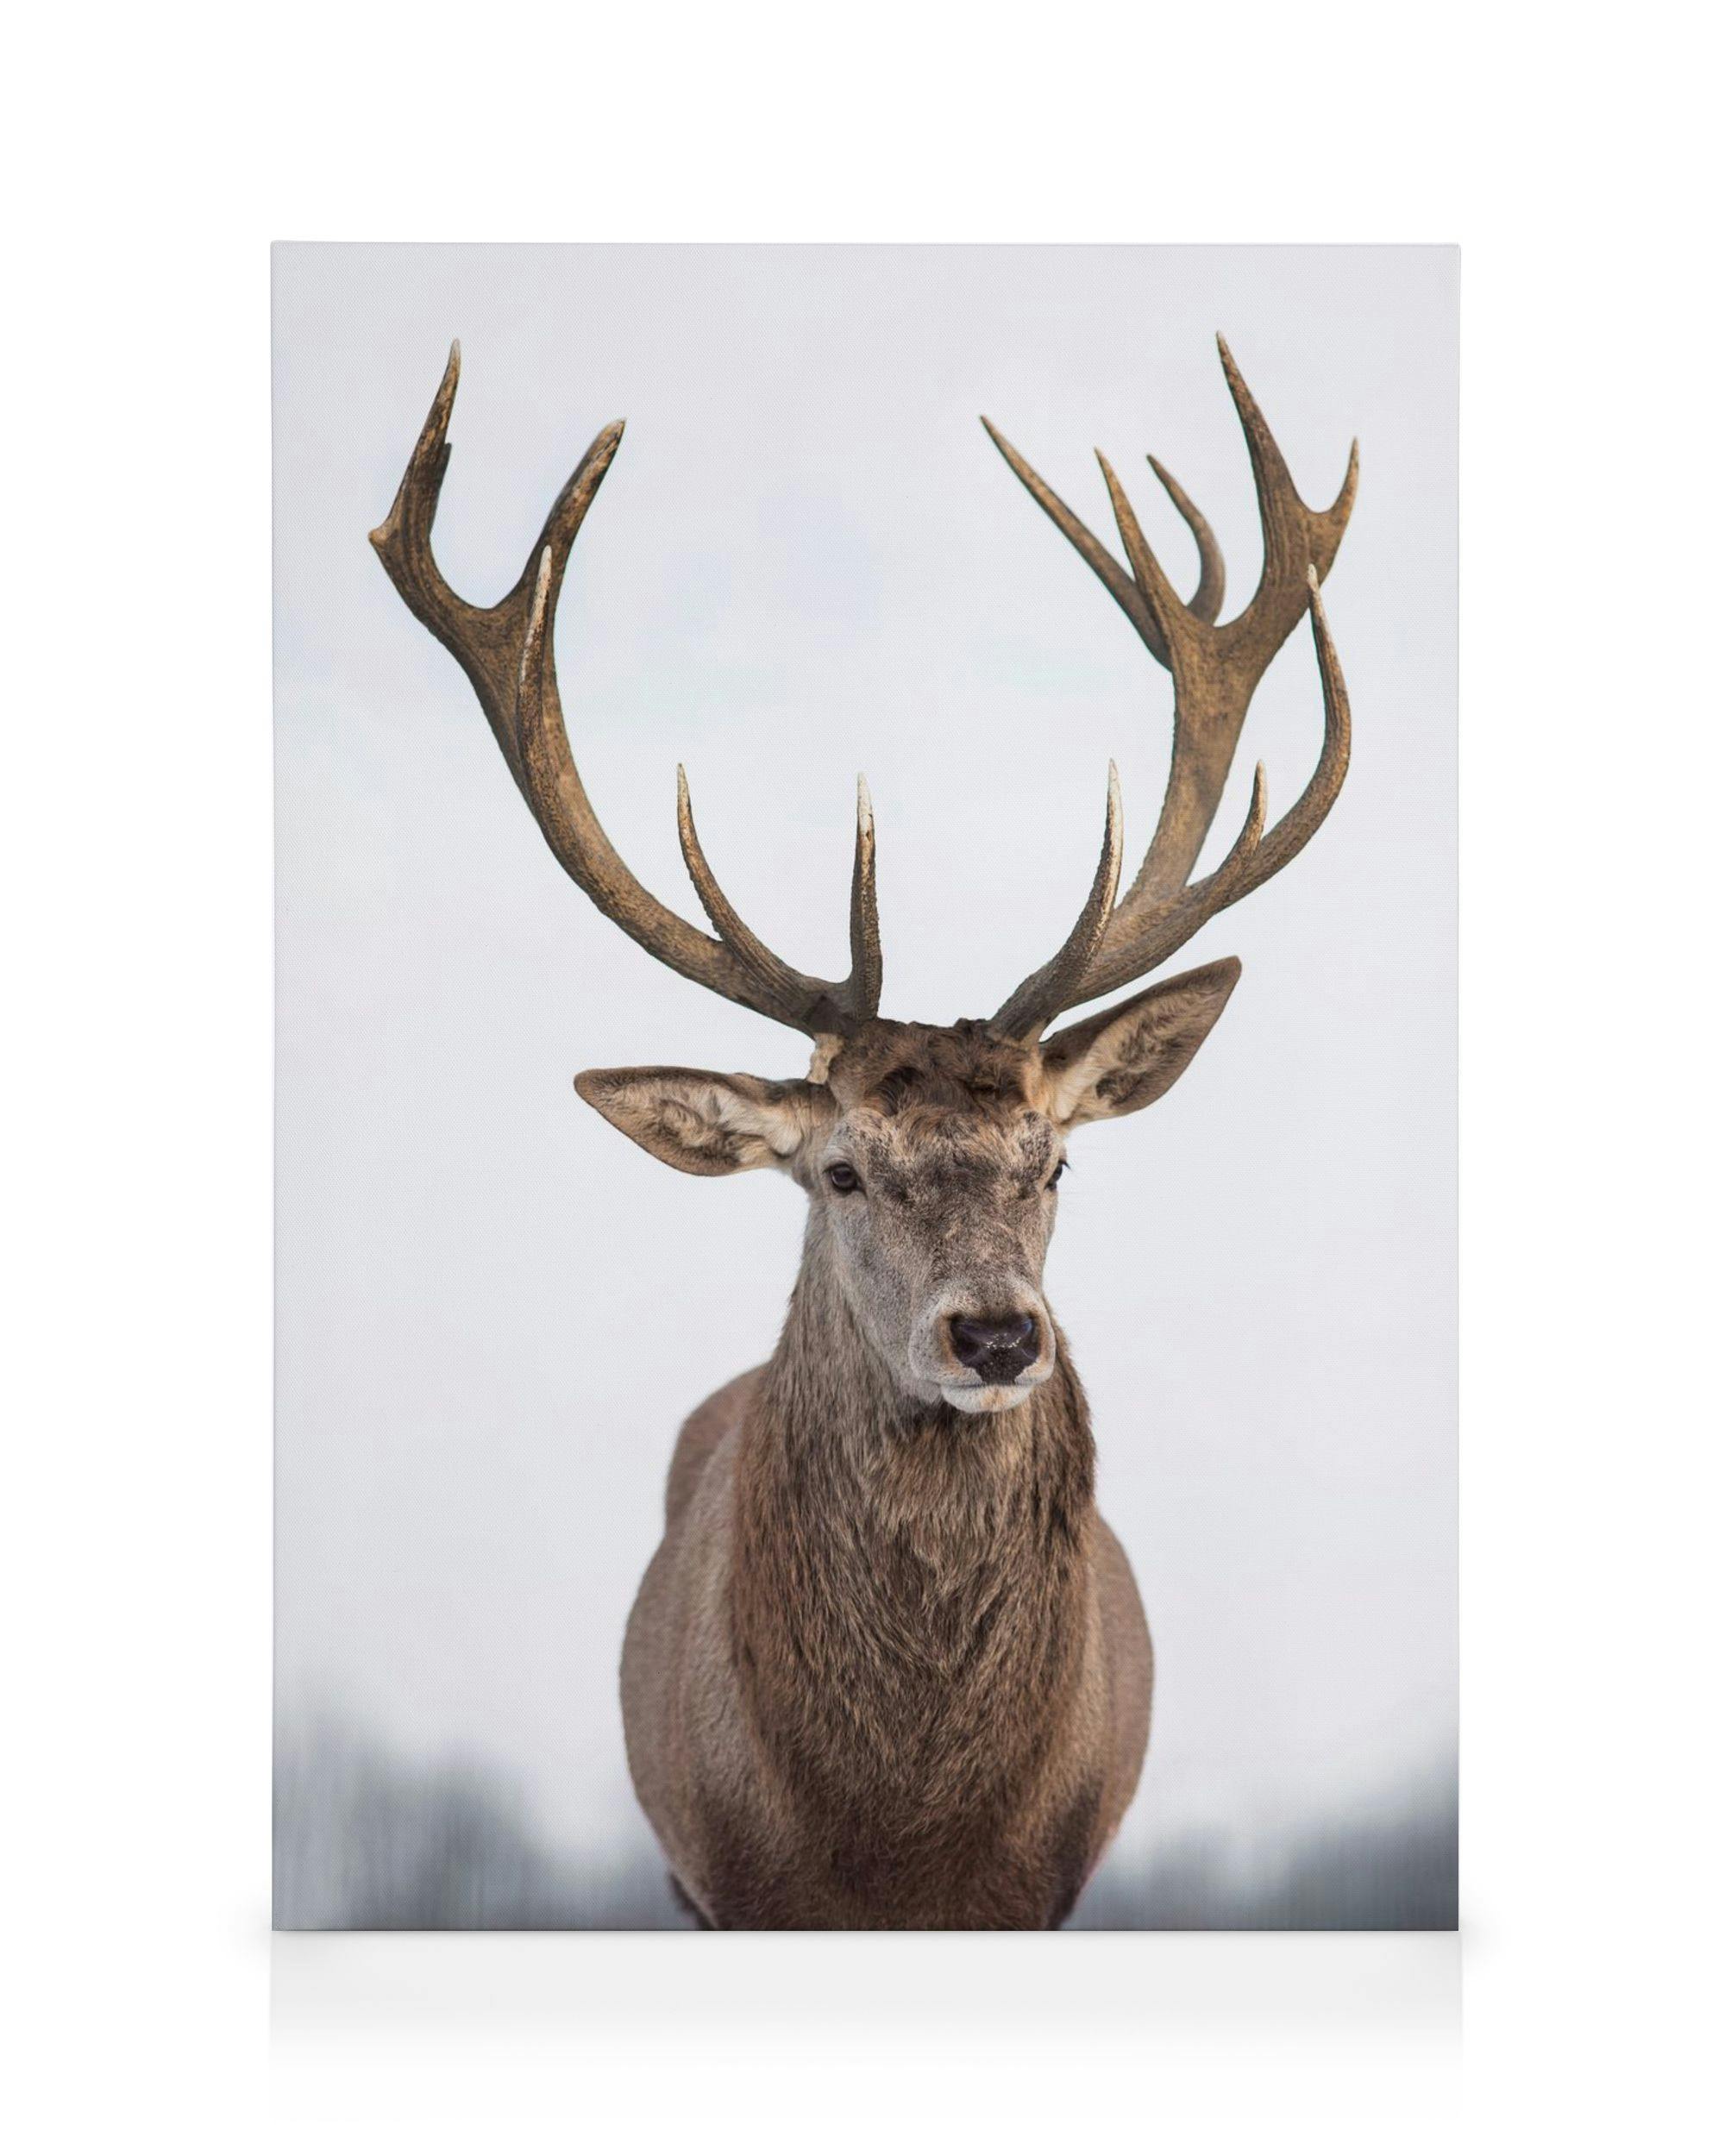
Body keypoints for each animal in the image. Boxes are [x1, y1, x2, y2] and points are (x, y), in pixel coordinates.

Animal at [370, 337, 1356, 1929]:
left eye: (1056, 1164)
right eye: (839, 1170)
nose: (997, 1335)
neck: (898, 1841)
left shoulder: (1048, 1885)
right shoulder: (728, 1878)